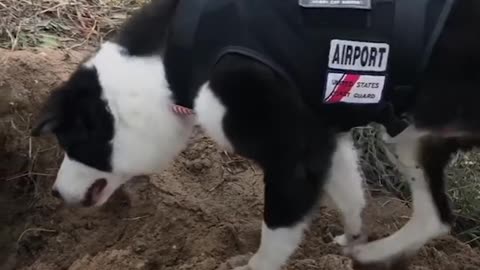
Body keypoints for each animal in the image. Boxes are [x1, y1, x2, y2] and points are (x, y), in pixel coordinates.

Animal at [31, 0, 480, 268]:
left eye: (71, 144)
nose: (54, 192)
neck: (170, 61)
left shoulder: (291, 156)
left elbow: (275, 235)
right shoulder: (320, 133)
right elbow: (348, 190)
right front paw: (353, 233)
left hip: (412, 134)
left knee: (434, 215)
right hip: (412, 138)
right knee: (436, 217)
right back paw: (372, 251)